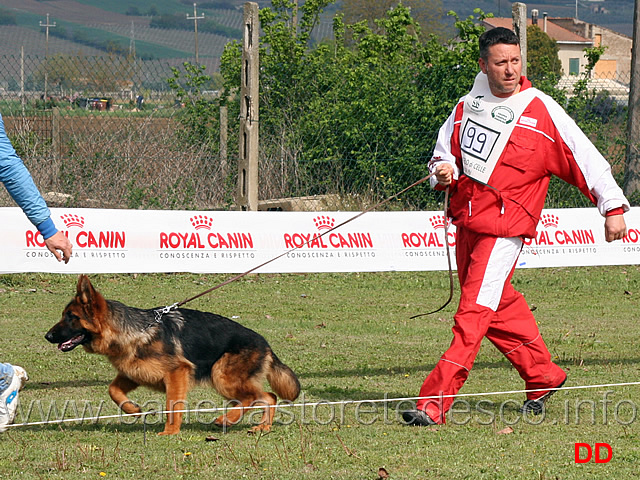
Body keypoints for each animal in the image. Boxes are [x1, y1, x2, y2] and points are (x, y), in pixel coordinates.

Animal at [45, 274, 300, 436]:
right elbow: (113, 390)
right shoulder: (132, 374)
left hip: (221, 375)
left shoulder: (176, 374)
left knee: (257, 397)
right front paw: (133, 409)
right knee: (268, 397)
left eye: (71, 317)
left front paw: (170, 432)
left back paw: (227, 419)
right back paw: (262, 427)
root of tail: (264, 343)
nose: (47, 336)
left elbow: (172, 405)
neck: (134, 331)